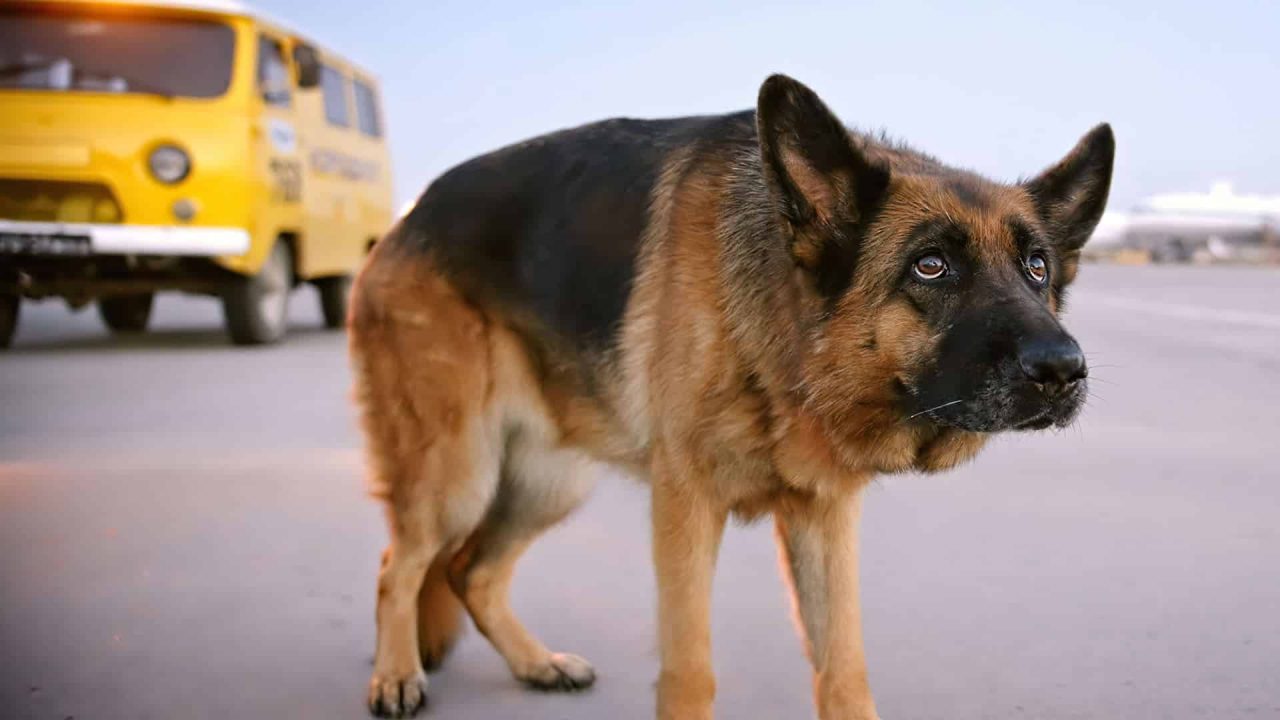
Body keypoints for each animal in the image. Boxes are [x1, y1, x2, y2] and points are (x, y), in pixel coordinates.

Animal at [350, 74, 1111, 717]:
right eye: (931, 266)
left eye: (1036, 267)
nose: (1064, 370)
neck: (781, 347)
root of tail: (411, 215)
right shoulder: (685, 508)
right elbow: (690, 671)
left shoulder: (824, 517)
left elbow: (843, 668)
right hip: (458, 473)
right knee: (398, 566)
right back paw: (395, 676)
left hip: (549, 482)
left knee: (471, 572)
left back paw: (536, 663)